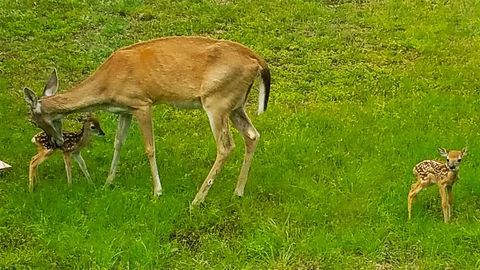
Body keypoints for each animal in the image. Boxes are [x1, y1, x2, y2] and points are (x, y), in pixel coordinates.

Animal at [23, 35, 270, 205]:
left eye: (34, 121)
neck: (107, 85)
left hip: (217, 101)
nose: (56, 143)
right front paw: (108, 182)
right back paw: (238, 192)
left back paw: (197, 200)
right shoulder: (124, 110)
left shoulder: (142, 103)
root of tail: (259, 61)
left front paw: (157, 192)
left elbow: (149, 148)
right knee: (252, 135)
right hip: (235, 104)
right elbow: (118, 143)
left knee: (226, 146)